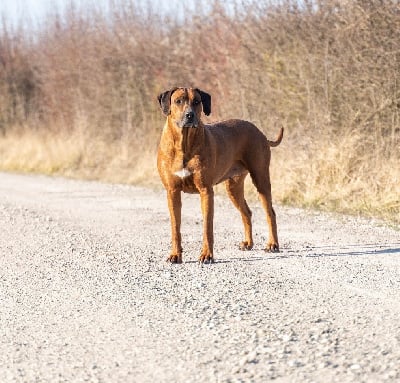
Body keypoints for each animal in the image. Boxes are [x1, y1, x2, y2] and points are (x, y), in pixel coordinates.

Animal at [158, 88, 282, 266]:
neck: (184, 144)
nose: (190, 115)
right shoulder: (172, 191)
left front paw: (207, 255)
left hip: (261, 179)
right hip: (233, 187)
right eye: (178, 101)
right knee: (247, 212)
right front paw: (175, 255)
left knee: (270, 212)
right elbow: (175, 227)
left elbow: (207, 227)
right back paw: (248, 243)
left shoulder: (206, 191)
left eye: (197, 101)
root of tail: (260, 131)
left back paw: (273, 244)